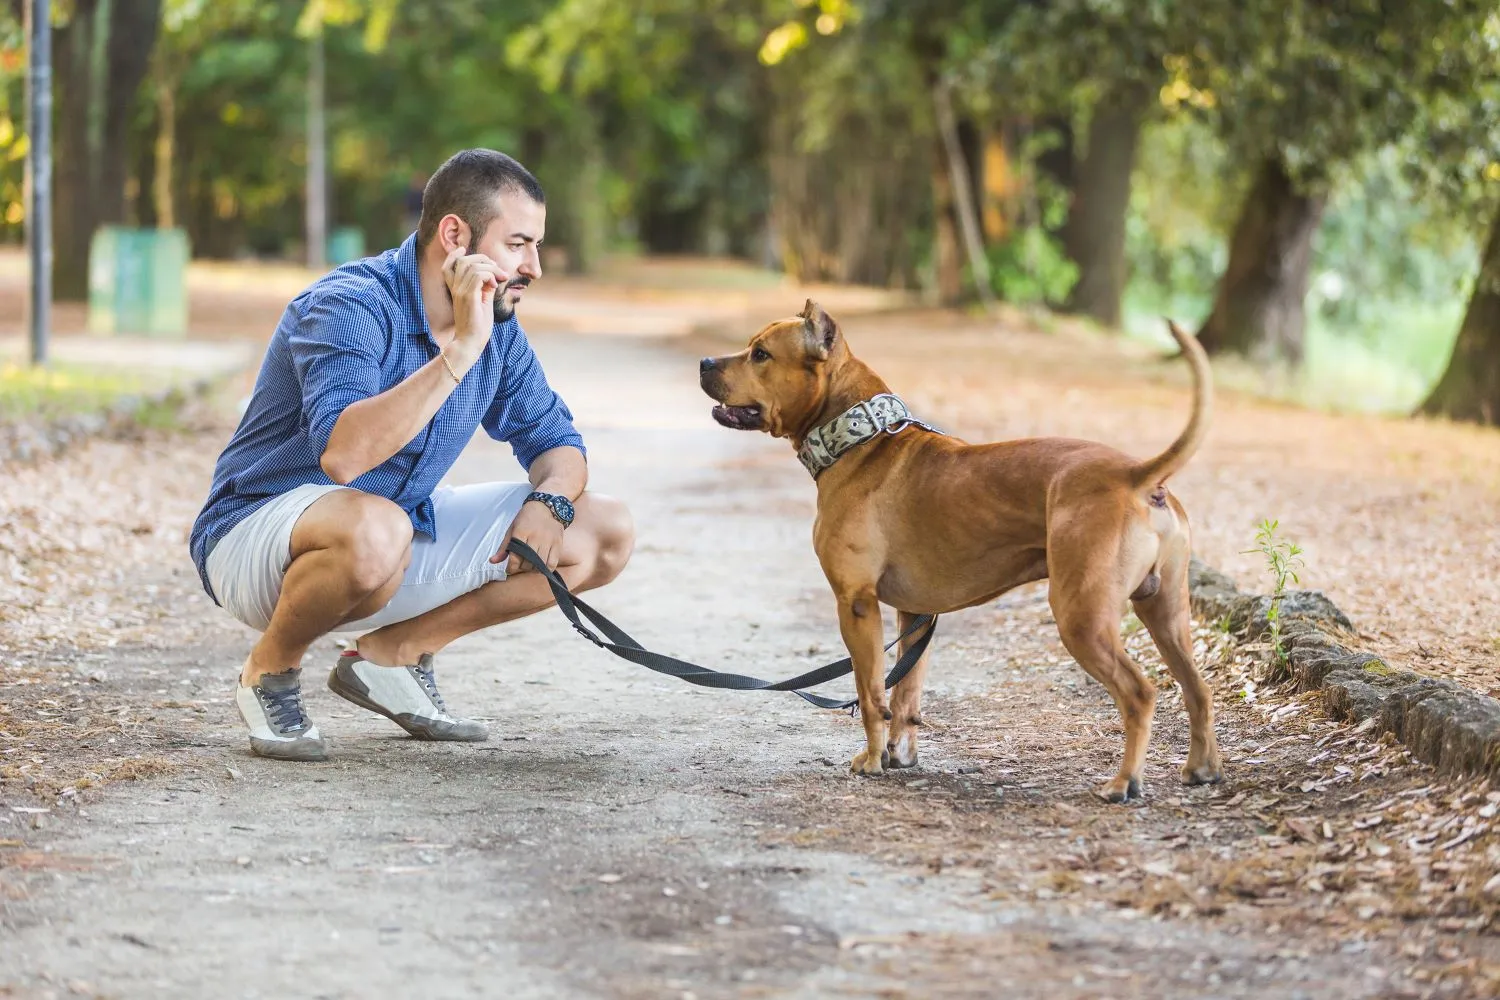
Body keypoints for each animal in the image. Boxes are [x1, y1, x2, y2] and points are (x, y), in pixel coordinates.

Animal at [699, 301, 1218, 803]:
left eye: (760, 354)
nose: (704, 362)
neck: (861, 437)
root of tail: (1134, 475)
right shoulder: (915, 613)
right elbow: (905, 694)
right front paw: (898, 753)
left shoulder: (857, 604)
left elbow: (870, 692)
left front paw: (871, 759)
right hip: (1166, 613)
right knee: (1198, 688)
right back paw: (1202, 768)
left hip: (1083, 618)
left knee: (1139, 694)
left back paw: (1123, 783)